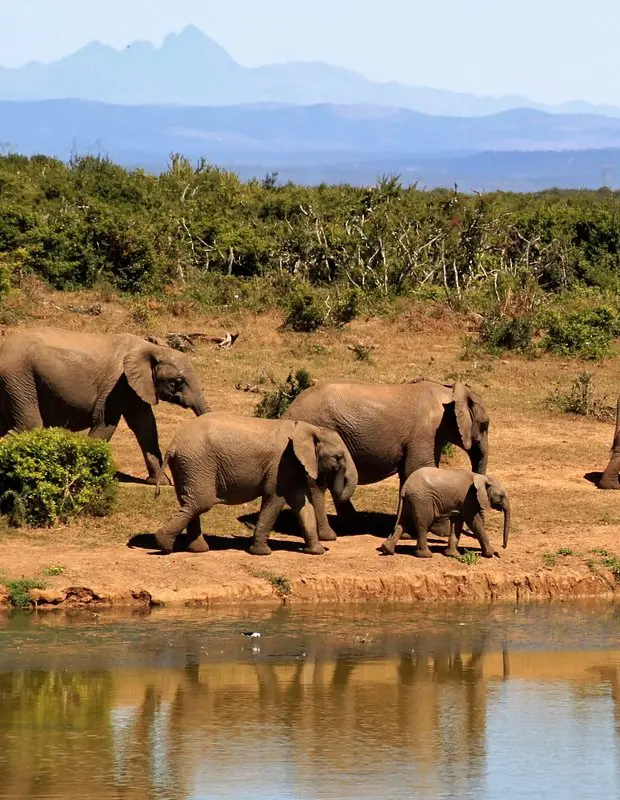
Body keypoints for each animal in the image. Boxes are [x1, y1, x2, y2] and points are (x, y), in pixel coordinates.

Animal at [0, 324, 209, 482]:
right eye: (178, 382)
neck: (150, 348)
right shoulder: (116, 386)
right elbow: (105, 424)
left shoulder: (135, 388)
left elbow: (146, 427)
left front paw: (160, 483)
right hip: (19, 377)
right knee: (28, 425)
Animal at [151, 412, 358, 556]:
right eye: (338, 457)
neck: (309, 428)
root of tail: (173, 445)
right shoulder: (281, 464)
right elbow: (275, 499)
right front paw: (262, 553)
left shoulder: (292, 466)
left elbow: (302, 504)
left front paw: (316, 552)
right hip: (197, 463)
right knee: (200, 503)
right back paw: (164, 545)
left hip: (187, 466)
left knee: (190, 503)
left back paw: (197, 549)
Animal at [280, 378, 490, 540]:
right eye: (485, 424)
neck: (448, 391)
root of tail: (287, 413)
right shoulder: (425, 433)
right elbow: (419, 468)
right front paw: (440, 532)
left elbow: (410, 474)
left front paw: (410, 533)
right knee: (317, 483)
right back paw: (329, 535)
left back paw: (355, 525)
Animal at [380, 466, 512, 560]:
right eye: (501, 496)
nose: (503, 547)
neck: (482, 477)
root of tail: (405, 486)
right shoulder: (469, 499)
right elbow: (474, 522)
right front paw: (490, 554)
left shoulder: (461, 502)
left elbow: (457, 523)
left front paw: (453, 555)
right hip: (422, 500)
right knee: (422, 525)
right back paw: (426, 556)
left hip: (410, 501)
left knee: (402, 523)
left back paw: (387, 549)